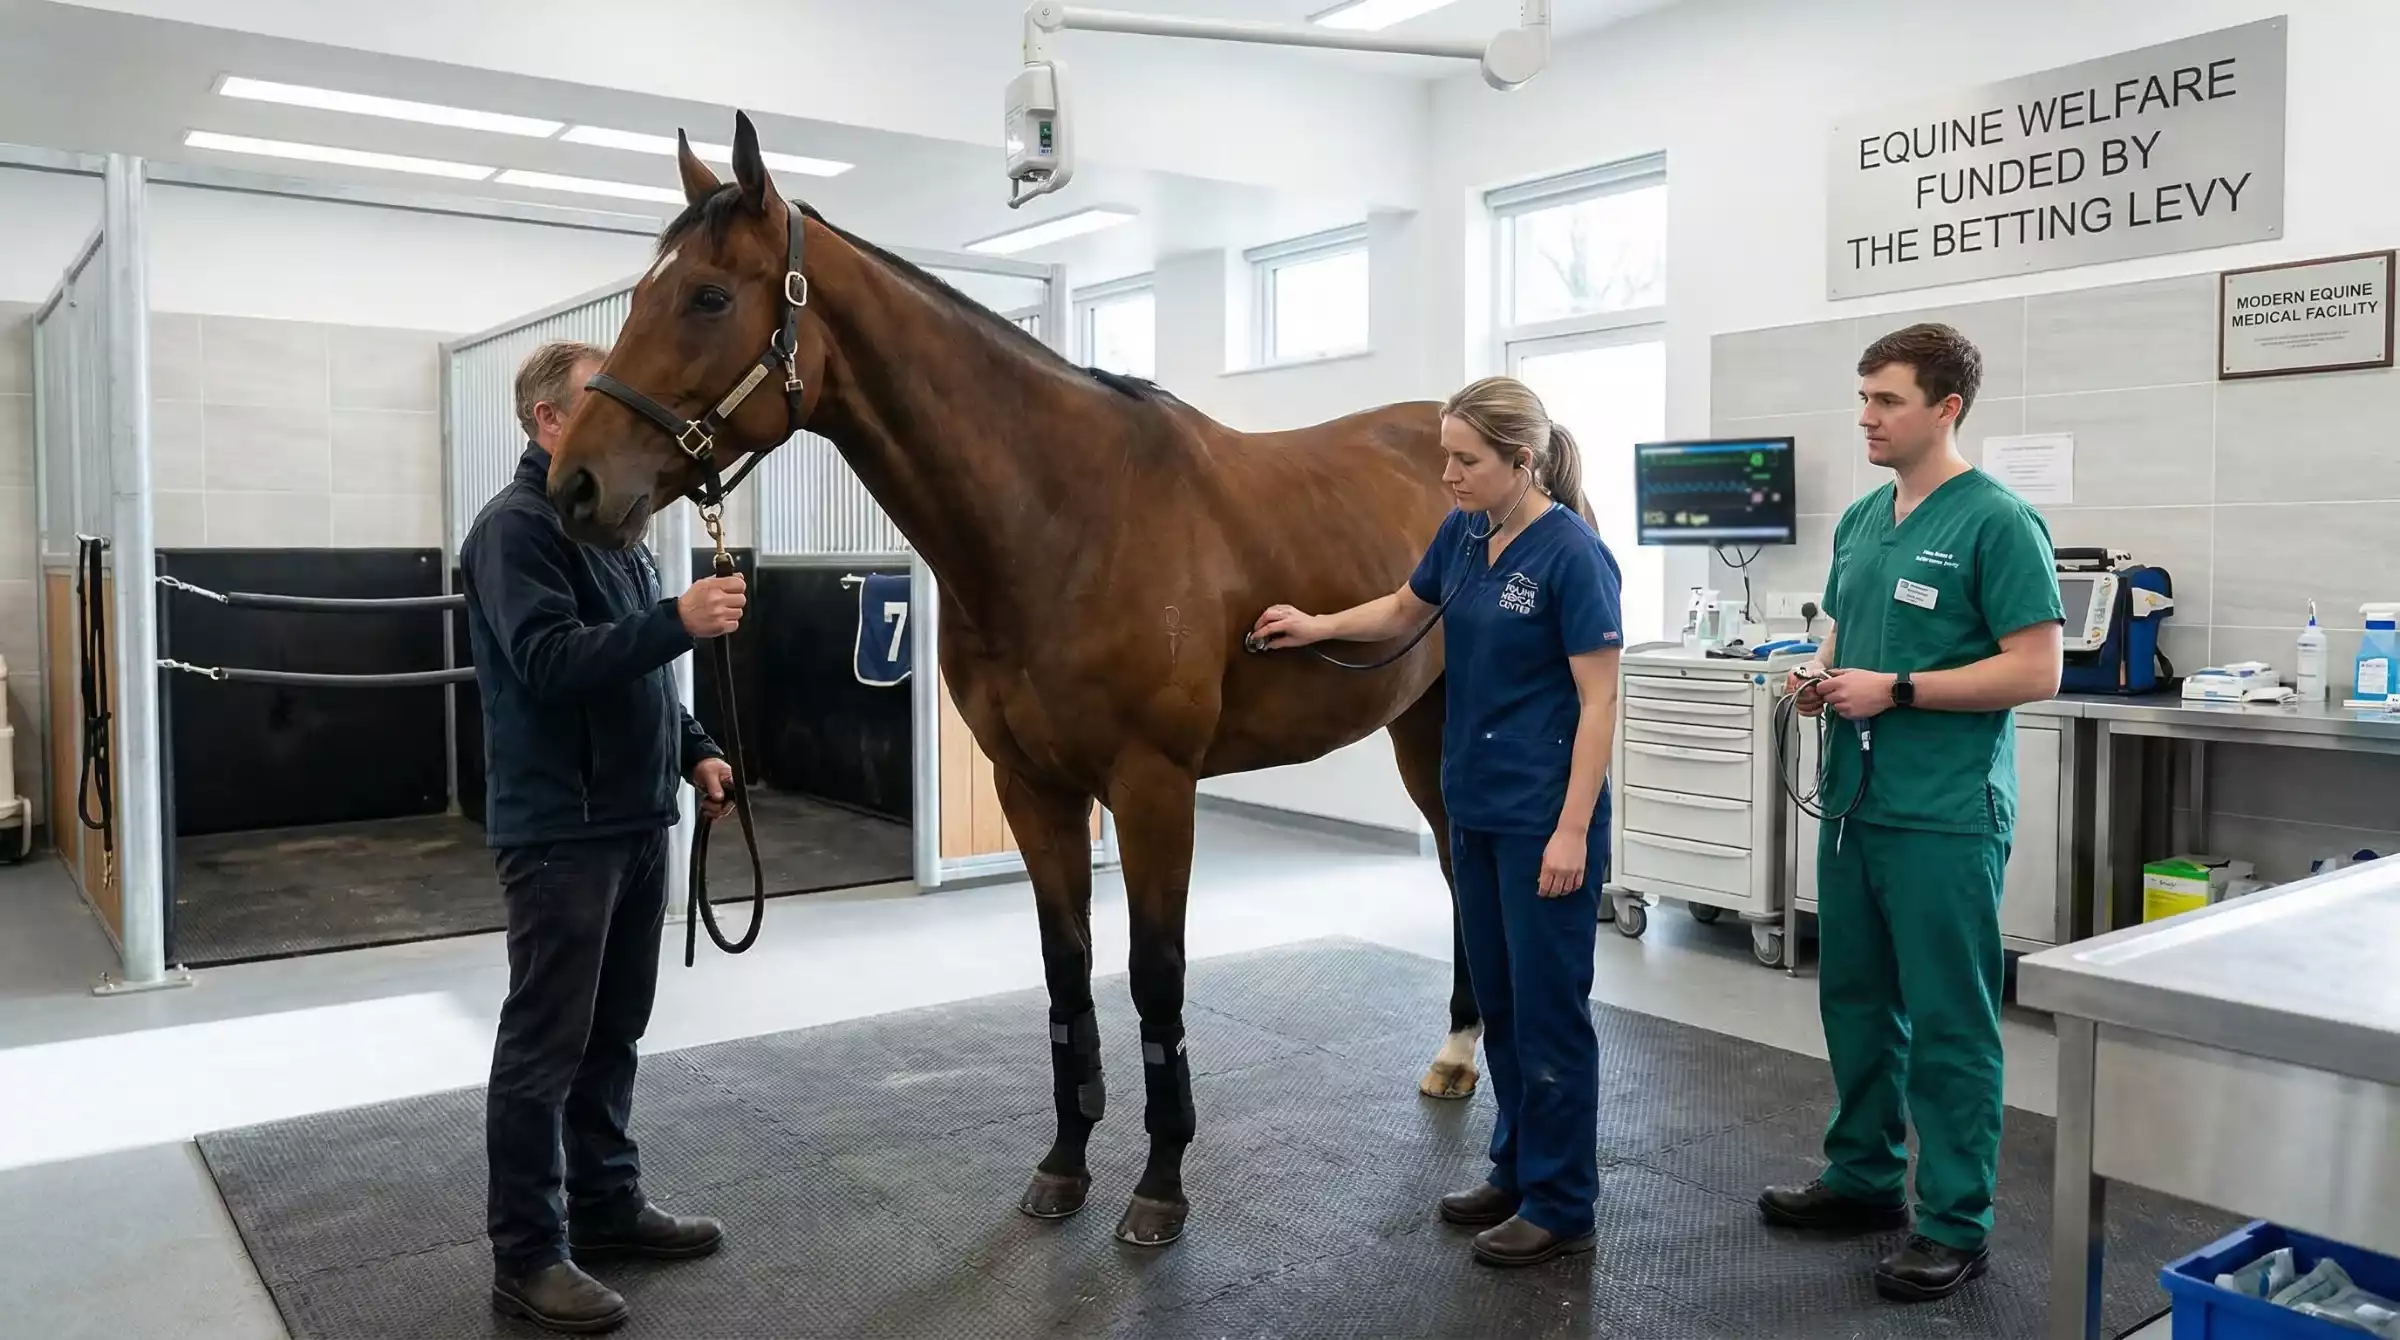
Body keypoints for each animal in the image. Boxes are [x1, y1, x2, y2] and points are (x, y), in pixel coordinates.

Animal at [548, 111, 1482, 1248]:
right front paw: (1064, 1165)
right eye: (644, 295)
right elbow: (1065, 969)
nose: (578, 485)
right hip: (1419, 728)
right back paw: (1456, 1056)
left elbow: (1155, 977)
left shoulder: (1152, 785)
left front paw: (1160, 1183)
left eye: (709, 297)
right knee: (1461, 871)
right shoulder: (1029, 785)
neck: (1064, 517)